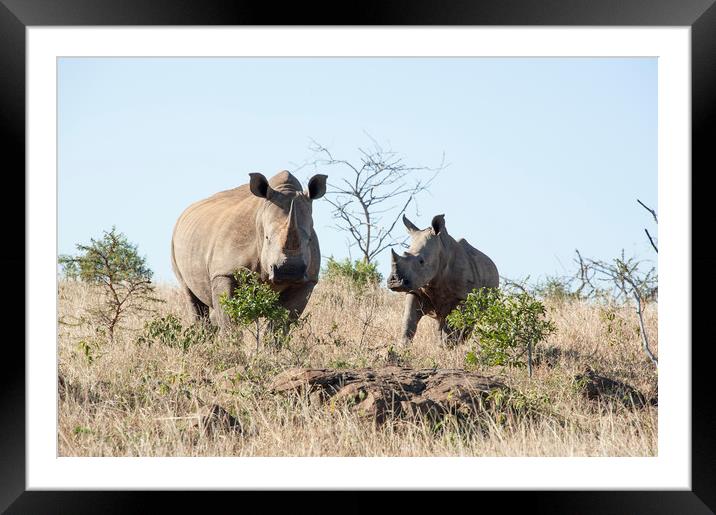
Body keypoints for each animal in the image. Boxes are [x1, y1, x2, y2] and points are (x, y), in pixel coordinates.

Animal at [172, 171, 328, 328]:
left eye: (309, 240)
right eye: (267, 238)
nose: (289, 271)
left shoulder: (307, 281)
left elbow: (282, 322)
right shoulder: (224, 272)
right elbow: (228, 318)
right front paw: (231, 335)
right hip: (175, 240)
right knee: (191, 296)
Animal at [386, 214, 498, 346]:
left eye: (421, 261)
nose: (395, 283)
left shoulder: (462, 296)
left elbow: (454, 327)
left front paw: (448, 347)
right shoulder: (415, 290)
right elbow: (408, 321)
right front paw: (403, 346)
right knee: (441, 320)